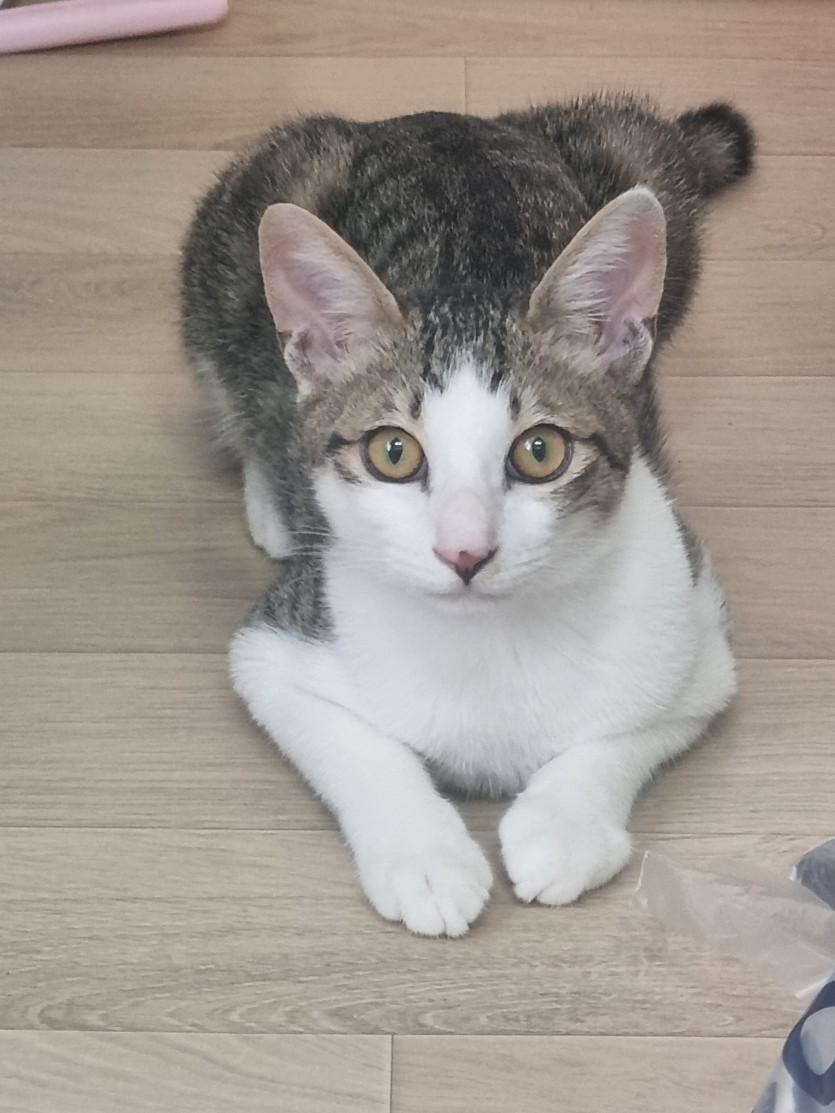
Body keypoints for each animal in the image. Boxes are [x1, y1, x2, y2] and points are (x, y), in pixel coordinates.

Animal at [180, 94, 754, 936]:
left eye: (540, 451)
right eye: (393, 452)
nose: (464, 552)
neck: (492, 641)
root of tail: (463, 119)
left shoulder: (695, 633)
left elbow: (632, 728)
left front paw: (563, 826)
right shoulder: (277, 644)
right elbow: (351, 743)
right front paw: (424, 857)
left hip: (648, 169)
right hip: (248, 214)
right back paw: (269, 491)